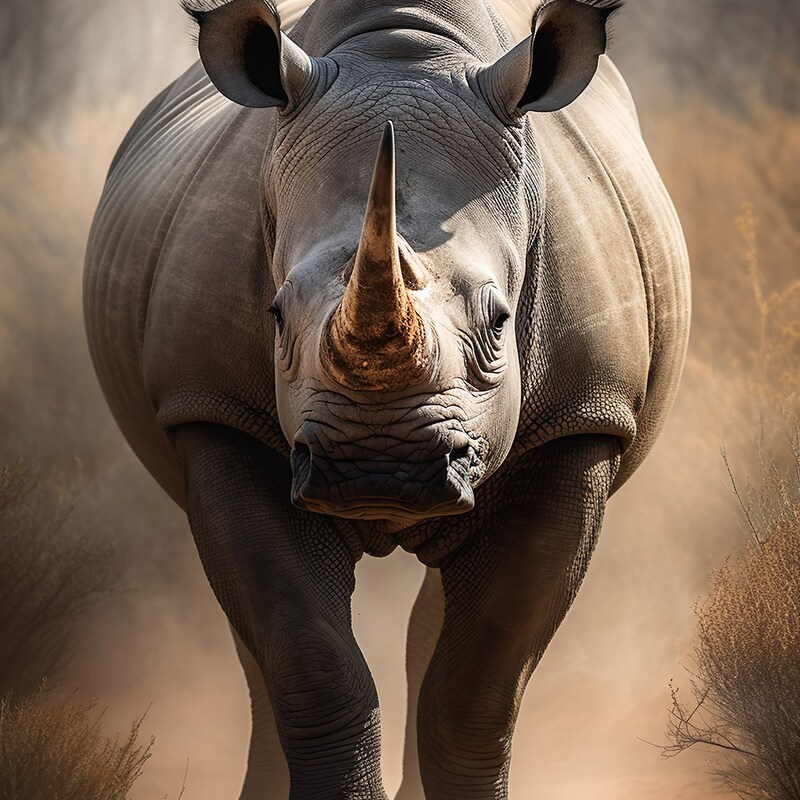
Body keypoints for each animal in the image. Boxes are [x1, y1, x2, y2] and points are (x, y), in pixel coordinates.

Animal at [83, 0, 690, 796]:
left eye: (500, 322)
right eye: (275, 316)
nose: (378, 469)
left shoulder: (581, 420)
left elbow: (478, 685)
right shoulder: (212, 409)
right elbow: (306, 655)